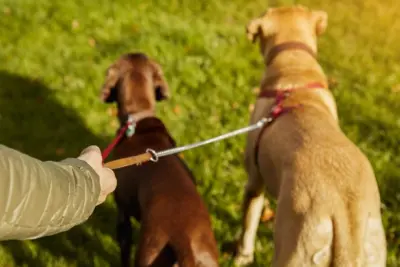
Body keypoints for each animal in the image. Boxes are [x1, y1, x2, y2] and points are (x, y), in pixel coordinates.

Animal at [234, 5, 388, 266]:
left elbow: (248, 224)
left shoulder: (255, 181)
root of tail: (345, 216)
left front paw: (241, 256)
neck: (295, 71)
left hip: (296, 249)